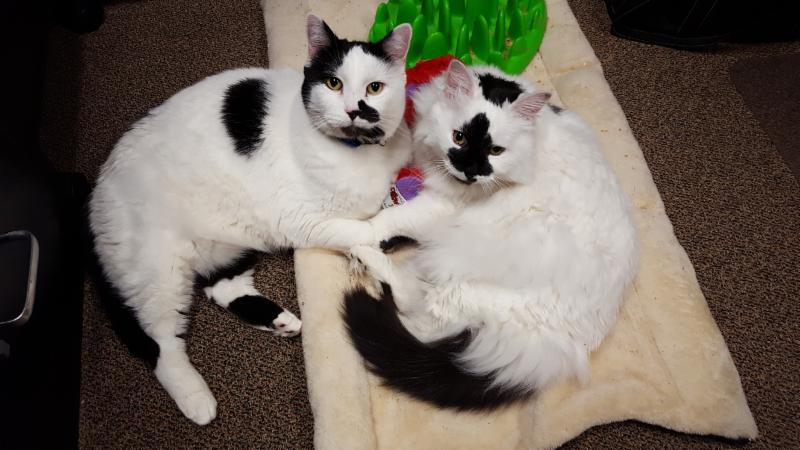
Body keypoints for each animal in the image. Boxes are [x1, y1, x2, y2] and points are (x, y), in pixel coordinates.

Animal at [89, 16, 412, 425]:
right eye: (333, 83)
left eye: (375, 87)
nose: (355, 110)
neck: (359, 154)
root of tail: (97, 194)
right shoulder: (302, 220)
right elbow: (359, 227)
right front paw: (385, 233)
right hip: (159, 273)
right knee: (159, 343)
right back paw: (197, 399)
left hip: (233, 241)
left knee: (222, 287)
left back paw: (281, 321)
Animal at [343, 59, 639, 410]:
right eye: (458, 137)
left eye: (496, 151)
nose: (471, 172)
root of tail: (565, 345)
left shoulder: (440, 206)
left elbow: (388, 219)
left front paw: (361, 231)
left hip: (454, 277)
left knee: (416, 310)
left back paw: (365, 263)